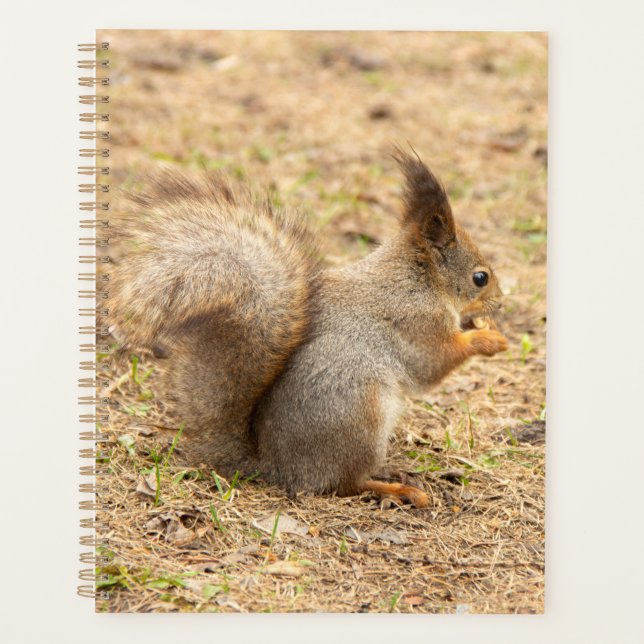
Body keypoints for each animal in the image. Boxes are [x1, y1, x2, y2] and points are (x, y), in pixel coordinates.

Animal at [110, 148, 508, 508]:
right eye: (480, 277)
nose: (500, 303)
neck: (417, 279)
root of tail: (277, 469)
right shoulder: (417, 322)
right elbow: (433, 364)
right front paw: (488, 339)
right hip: (359, 417)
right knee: (344, 485)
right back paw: (395, 489)